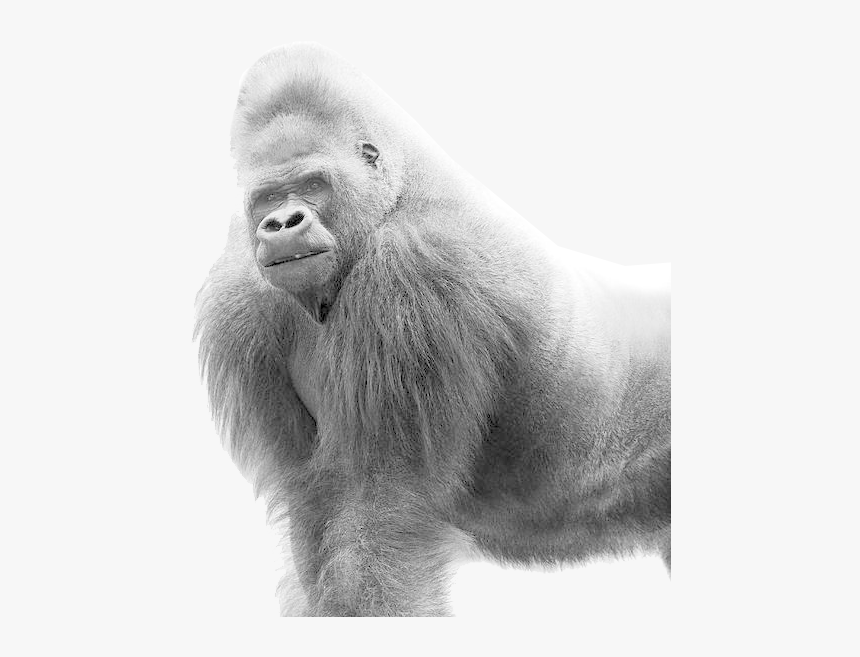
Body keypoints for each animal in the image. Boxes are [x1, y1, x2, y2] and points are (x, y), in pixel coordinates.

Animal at [196, 43, 670, 616]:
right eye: (267, 197)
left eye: (313, 184)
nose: (283, 223)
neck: (395, 195)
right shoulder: (240, 299)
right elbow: (313, 509)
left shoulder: (413, 272)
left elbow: (383, 509)